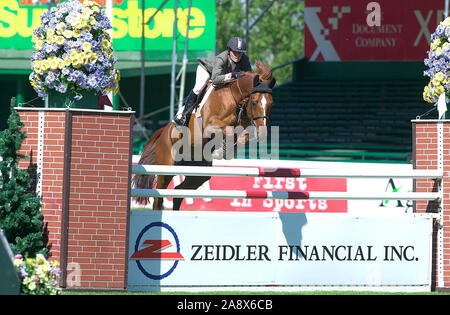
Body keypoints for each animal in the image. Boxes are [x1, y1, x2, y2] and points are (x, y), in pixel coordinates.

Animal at [132, 60, 276, 211]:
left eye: (271, 104)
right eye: (254, 102)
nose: (263, 133)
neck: (234, 97)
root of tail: (163, 133)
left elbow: (243, 136)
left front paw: (227, 150)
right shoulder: (209, 125)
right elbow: (229, 131)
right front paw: (222, 150)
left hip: (198, 173)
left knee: (179, 192)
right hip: (167, 167)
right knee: (159, 197)